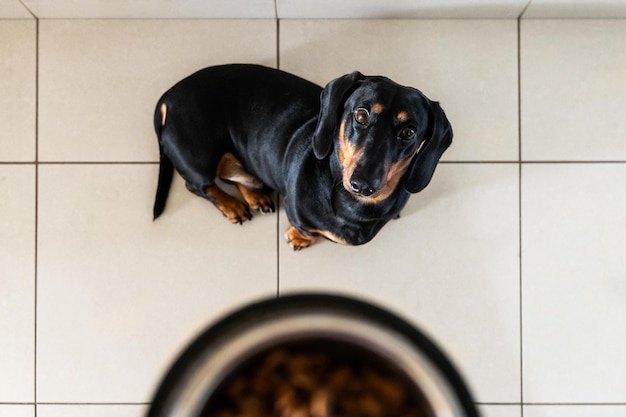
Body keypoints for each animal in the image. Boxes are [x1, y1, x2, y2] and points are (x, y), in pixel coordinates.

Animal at [154, 63, 450, 249]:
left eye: (409, 132)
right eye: (361, 114)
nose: (363, 185)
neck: (354, 208)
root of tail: (169, 97)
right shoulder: (298, 215)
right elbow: (307, 230)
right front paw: (299, 238)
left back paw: (255, 196)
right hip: (199, 160)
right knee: (198, 186)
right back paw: (232, 205)